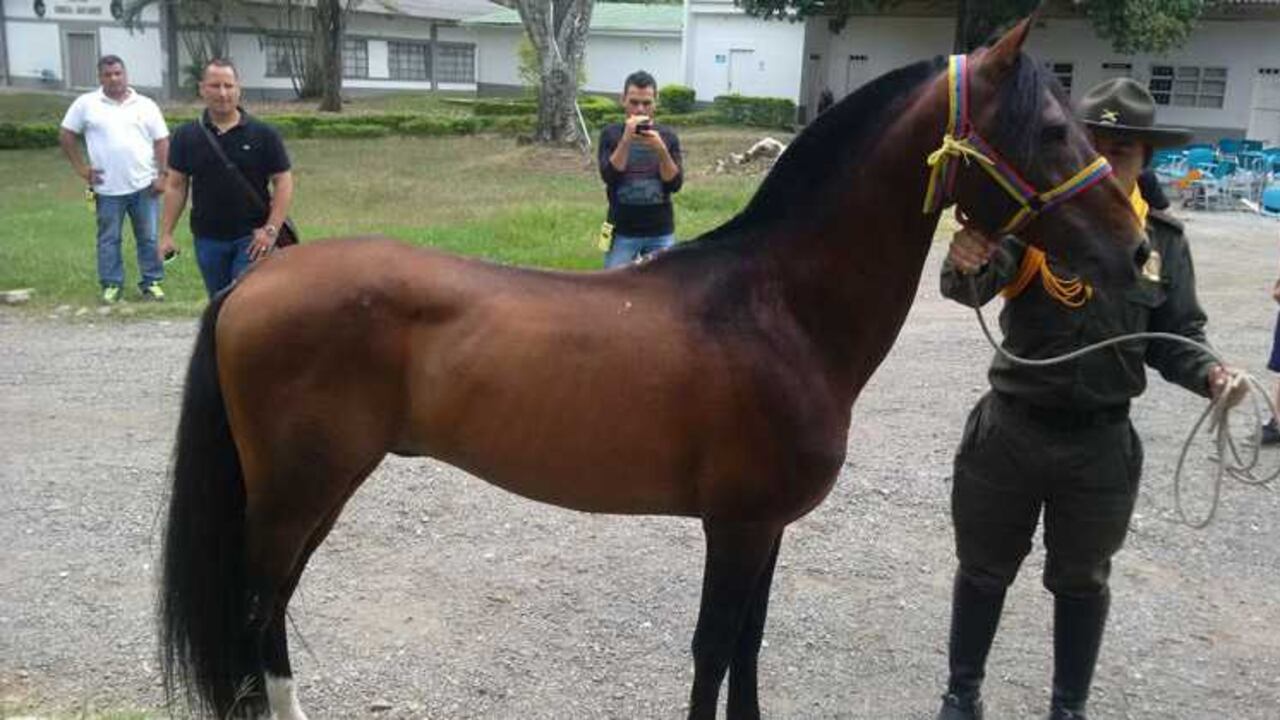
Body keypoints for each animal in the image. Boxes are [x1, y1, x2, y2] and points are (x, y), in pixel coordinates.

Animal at [159, 19, 1144, 720]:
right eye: (1050, 129)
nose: (1134, 247)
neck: (778, 308)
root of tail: (256, 278)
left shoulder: (766, 528)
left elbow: (747, 646)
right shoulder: (736, 526)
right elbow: (713, 649)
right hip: (299, 491)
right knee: (258, 611)